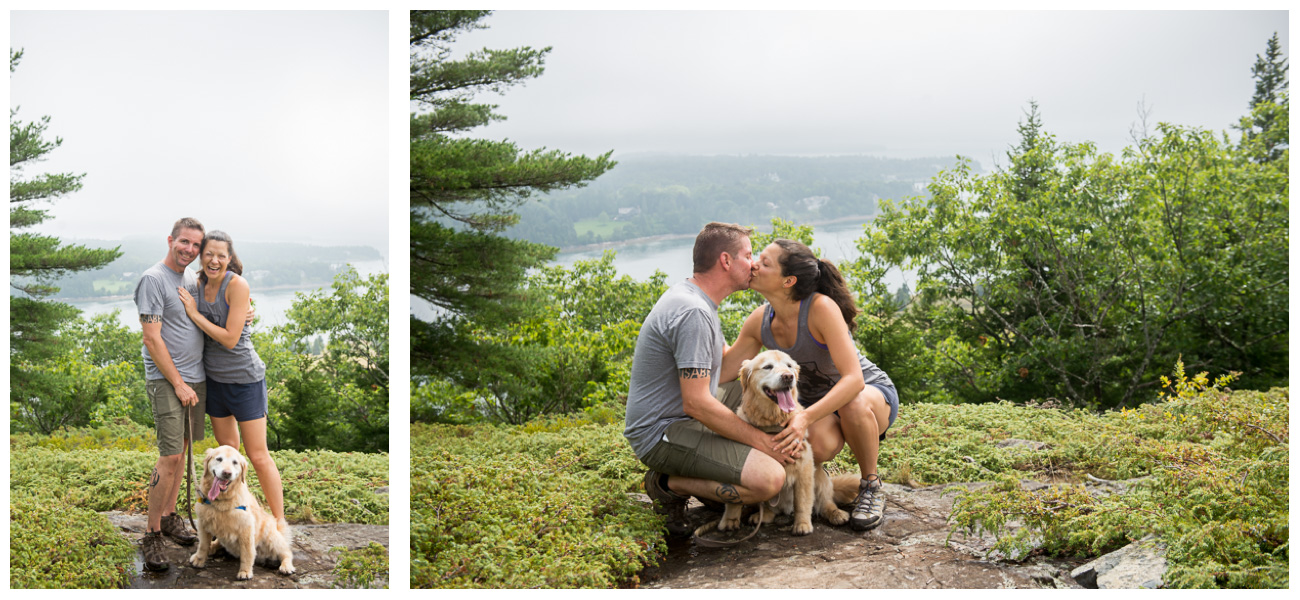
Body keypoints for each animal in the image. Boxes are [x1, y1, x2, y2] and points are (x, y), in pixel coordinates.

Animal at [188, 444, 295, 581]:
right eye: (219, 459)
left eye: (235, 462)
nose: (227, 473)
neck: (221, 500)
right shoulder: (203, 524)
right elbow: (203, 545)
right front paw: (199, 559)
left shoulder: (246, 529)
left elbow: (247, 553)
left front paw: (245, 571)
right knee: (218, 543)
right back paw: (212, 547)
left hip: (271, 537)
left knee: (287, 552)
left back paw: (286, 566)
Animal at [717, 348, 847, 537]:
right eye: (768, 367)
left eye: (789, 366)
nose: (788, 376)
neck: (772, 421)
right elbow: (733, 500)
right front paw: (729, 520)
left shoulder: (804, 468)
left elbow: (803, 501)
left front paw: (802, 524)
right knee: (769, 508)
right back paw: (762, 516)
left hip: (820, 478)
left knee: (825, 502)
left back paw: (836, 513)